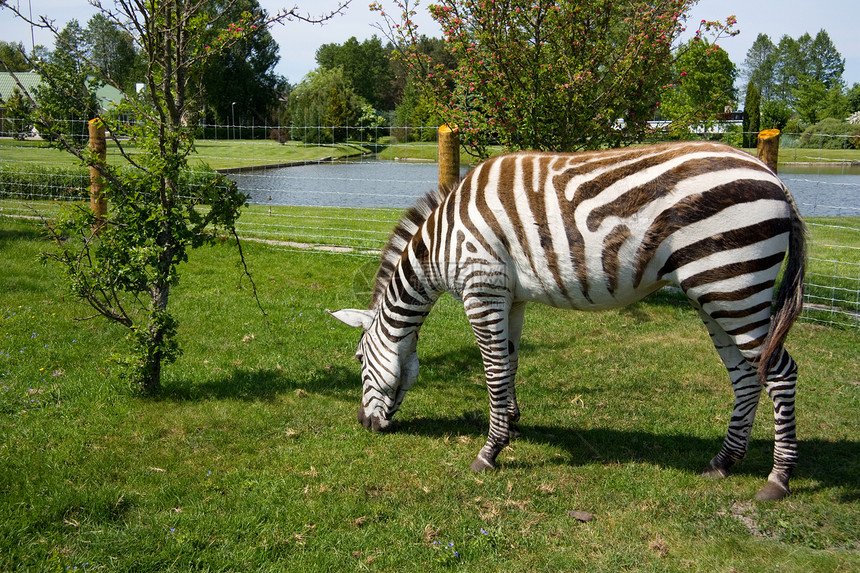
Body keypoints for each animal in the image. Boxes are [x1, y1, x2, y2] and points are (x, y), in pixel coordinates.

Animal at [330, 142, 808, 500]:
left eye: (358, 360)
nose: (364, 425)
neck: (442, 242)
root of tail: (776, 178)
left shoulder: (481, 290)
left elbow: (493, 372)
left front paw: (488, 452)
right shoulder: (510, 297)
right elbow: (510, 363)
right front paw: (511, 427)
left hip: (732, 286)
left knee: (781, 372)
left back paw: (778, 479)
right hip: (718, 293)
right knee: (746, 376)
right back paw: (723, 463)